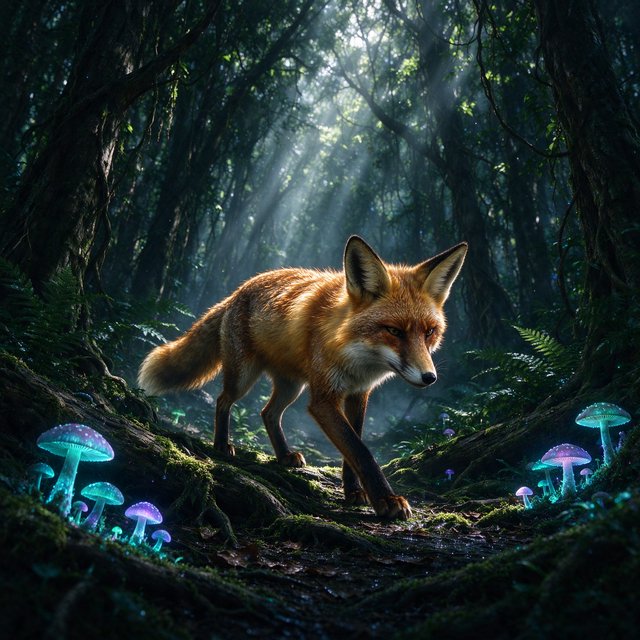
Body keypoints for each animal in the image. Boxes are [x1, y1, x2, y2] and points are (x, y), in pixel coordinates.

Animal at [138, 236, 467, 520]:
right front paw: (386, 500)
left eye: (429, 332)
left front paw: (354, 492)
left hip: (291, 386)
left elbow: (353, 446)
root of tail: (238, 290)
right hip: (245, 377)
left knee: (267, 412)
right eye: (394, 331)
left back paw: (284, 456)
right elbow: (360, 450)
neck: (355, 355)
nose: (429, 377)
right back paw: (222, 445)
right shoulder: (323, 398)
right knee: (223, 401)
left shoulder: (358, 394)